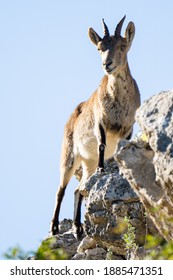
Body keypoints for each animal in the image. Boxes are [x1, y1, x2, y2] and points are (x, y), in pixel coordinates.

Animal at [50, 16, 140, 237]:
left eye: (122, 46)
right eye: (100, 48)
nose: (107, 64)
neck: (118, 103)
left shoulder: (128, 128)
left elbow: (121, 148)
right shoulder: (100, 122)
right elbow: (101, 144)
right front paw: (102, 168)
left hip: (86, 162)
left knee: (79, 189)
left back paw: (77, 227)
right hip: (69, 156)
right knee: (61, 190)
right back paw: (55, 227)